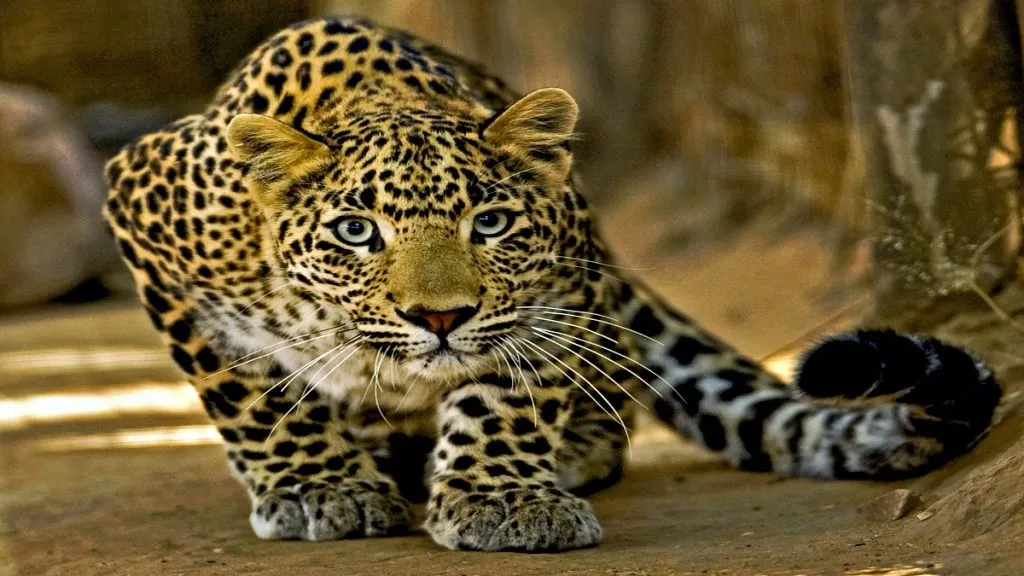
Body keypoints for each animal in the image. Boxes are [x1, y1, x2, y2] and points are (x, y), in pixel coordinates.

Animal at [103, 16, 1001, 552]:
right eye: (356, 231)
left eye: (492, 223)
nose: (438, 318)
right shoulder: (140, 205)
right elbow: (248, 390)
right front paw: (316, 485)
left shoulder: (556, 285)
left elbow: (508, 393)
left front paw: (500, 498)